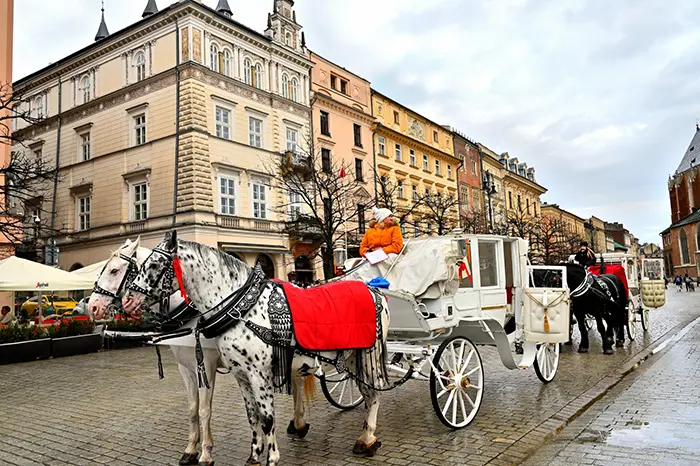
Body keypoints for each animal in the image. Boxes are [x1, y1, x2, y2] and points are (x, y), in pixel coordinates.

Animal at [87, 240, 220, 466]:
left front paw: (206, 453)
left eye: (114, 270)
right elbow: (193, 408)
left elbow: (205, 410)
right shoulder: (186, 368)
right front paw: (190, 449)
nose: (92, 307)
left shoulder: (206, 368)